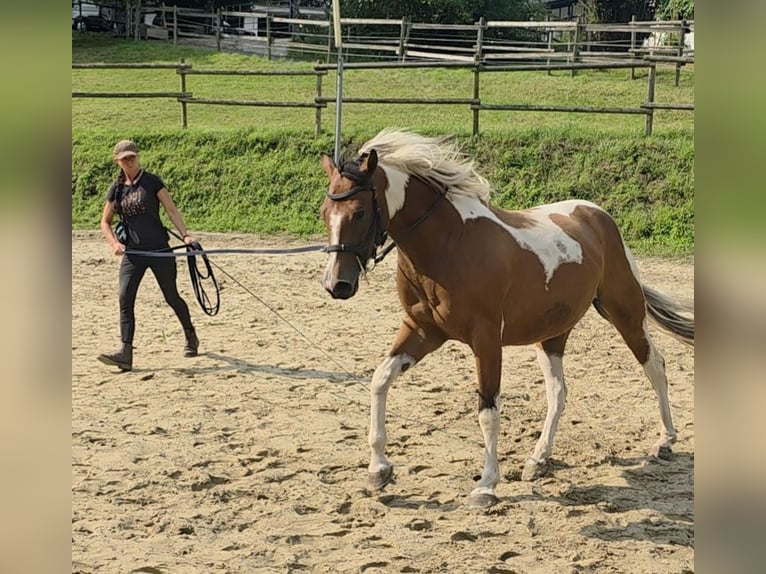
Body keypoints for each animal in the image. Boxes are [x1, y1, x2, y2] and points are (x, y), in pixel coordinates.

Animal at [319, 128, 693, 508]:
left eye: (360, 212)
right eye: (324, 212)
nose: (338, 285)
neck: (450, 244)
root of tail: (597, 214)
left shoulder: (485, 340)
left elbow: (488, 411)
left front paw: (486, 486)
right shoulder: (421, 330)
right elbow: (380, 380)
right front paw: (378, 471)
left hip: (625, 312)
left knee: (654, 366)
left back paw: (665, 441)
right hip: (552, 333)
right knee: (558, 392)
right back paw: (538, 460)